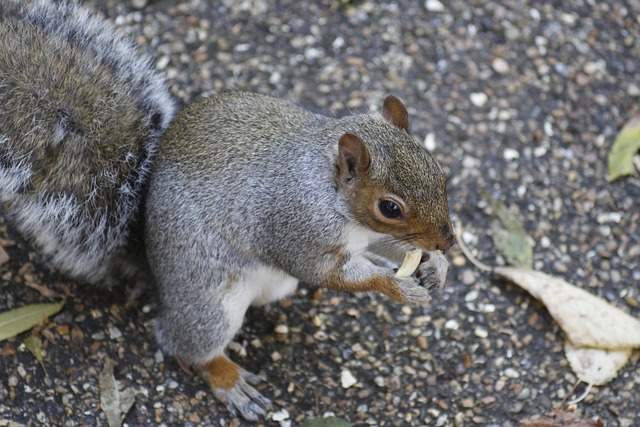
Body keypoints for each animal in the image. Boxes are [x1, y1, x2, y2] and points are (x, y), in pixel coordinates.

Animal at [2, 0, 458, 422]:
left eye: (439, 173)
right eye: (390, 207)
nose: (448, 242)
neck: (331, 195)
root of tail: (153, 267)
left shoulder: (369, 236)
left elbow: (392, 248)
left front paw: (434, 266)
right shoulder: (296, 225)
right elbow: (323, 271)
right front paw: (396, 286)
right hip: (209, 304)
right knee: (183, 343)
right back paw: (228, 378)